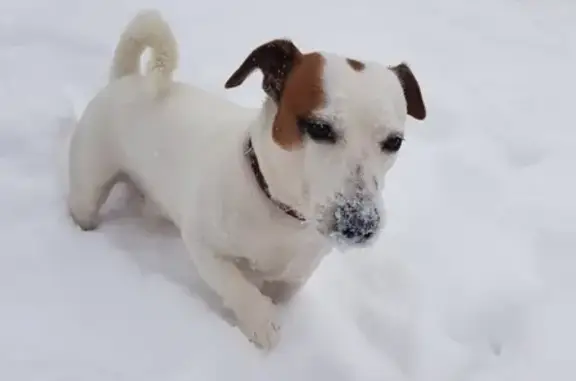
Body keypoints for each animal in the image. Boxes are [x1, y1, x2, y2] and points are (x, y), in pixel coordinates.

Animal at [68, 9, 428, 350]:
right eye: (319, 128)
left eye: (394, 142)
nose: (361, 225)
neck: (278, 211)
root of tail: (127, 78)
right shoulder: (205, 246)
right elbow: (236, 285)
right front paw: (262, 321)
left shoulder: (296, 274)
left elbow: (282, 289)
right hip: (89, 186)